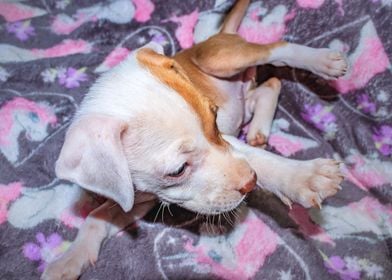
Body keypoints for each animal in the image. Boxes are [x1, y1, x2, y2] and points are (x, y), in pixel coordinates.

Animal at [41, 1, 344, 278]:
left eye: (215, 119)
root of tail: (217, 36)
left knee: (277, 51)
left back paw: (322, 61)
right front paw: (69, 259)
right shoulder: (140, 198)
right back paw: (258, 129)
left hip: (220, 59)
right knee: (270, 85)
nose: (251, 183)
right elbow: (97, 217)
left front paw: (302, 177)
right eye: (177, 171)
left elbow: (261, 161)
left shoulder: (229, 144)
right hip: (242, 90)